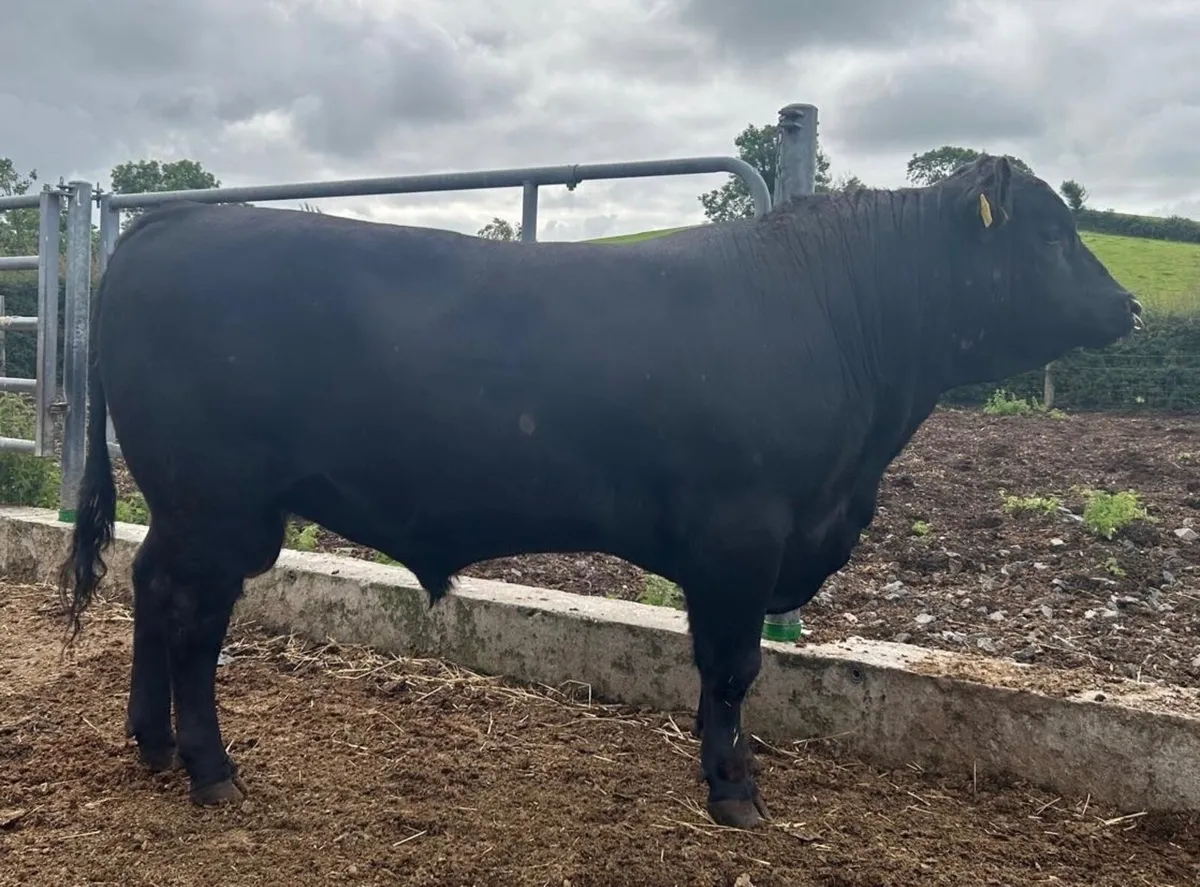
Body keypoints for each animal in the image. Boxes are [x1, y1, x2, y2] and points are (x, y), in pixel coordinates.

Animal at [57, 155, 1141, 830]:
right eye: (1051, 233)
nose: (1130, 305)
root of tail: (169, 225)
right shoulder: (743, 532)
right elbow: (733, 669)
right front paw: (734, 791)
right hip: (220, 502)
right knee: (193, 620)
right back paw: (211, 769)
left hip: (191, 508)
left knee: (151, 591)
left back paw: (151, 744)